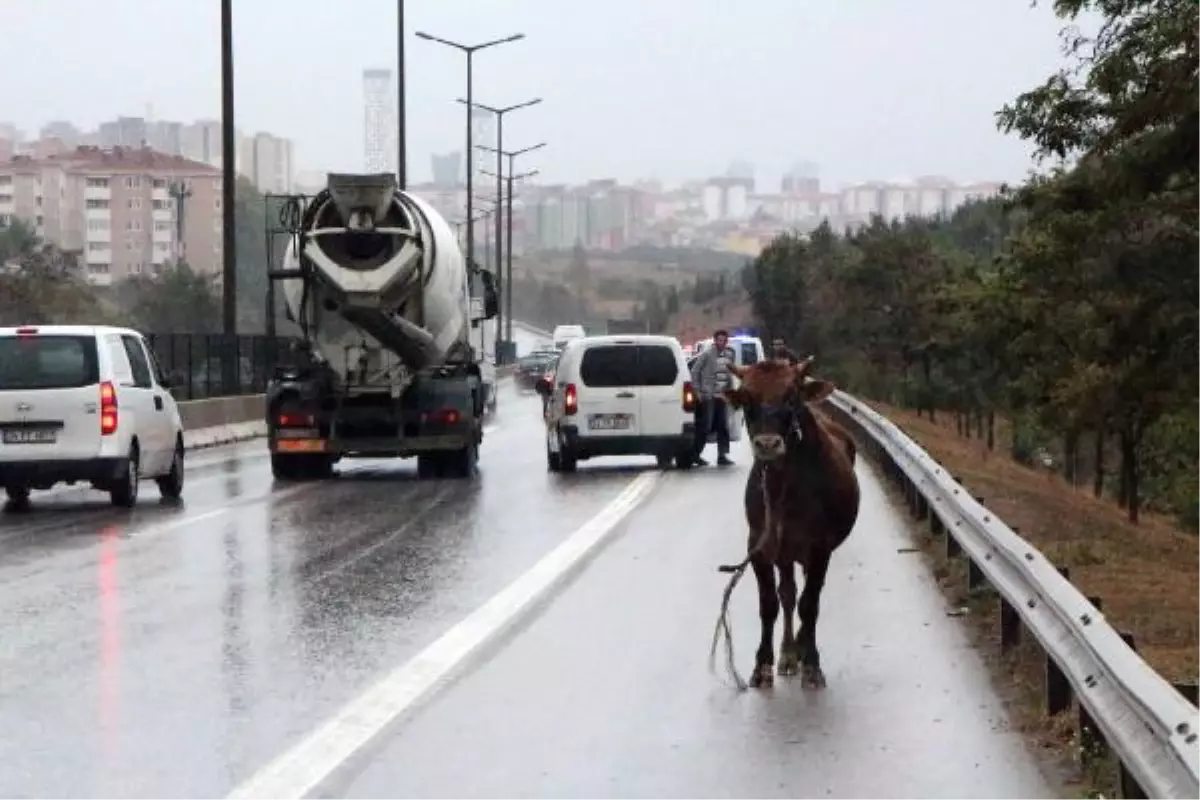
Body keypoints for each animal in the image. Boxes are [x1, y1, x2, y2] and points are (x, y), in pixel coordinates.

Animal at [705, 355, 859, 690]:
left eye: (791, 397)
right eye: (747, 399)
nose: (767, 444)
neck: (784, 483)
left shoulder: (819, 549)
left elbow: (810, 605)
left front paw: (812, 663)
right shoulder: (760, 547)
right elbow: (770, 604)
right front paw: (763, 664)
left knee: (804, 597)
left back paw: (799, 648)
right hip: (784, 553)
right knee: (787, 594)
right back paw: (788, 653)